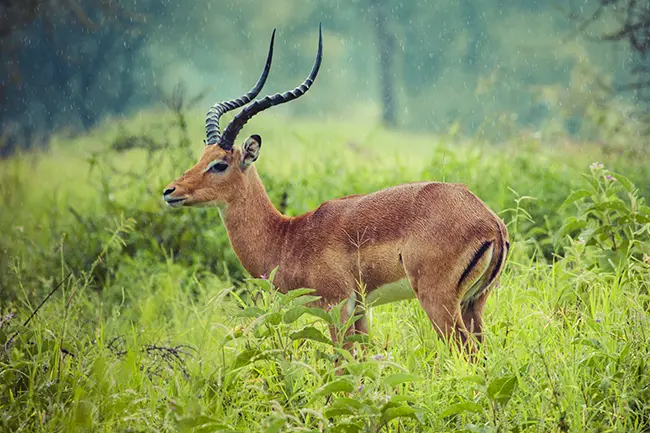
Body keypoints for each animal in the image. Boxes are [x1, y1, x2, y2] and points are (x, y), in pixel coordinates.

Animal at [161, 25, 506, 352]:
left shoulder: (336, 305)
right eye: (201, 156)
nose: (170, 191)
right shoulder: (361, 309)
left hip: (438, 302)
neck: (287, 238)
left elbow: (342, 362)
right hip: (473, 303)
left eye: (219, 164)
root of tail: (490, 221)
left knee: (465, 353)